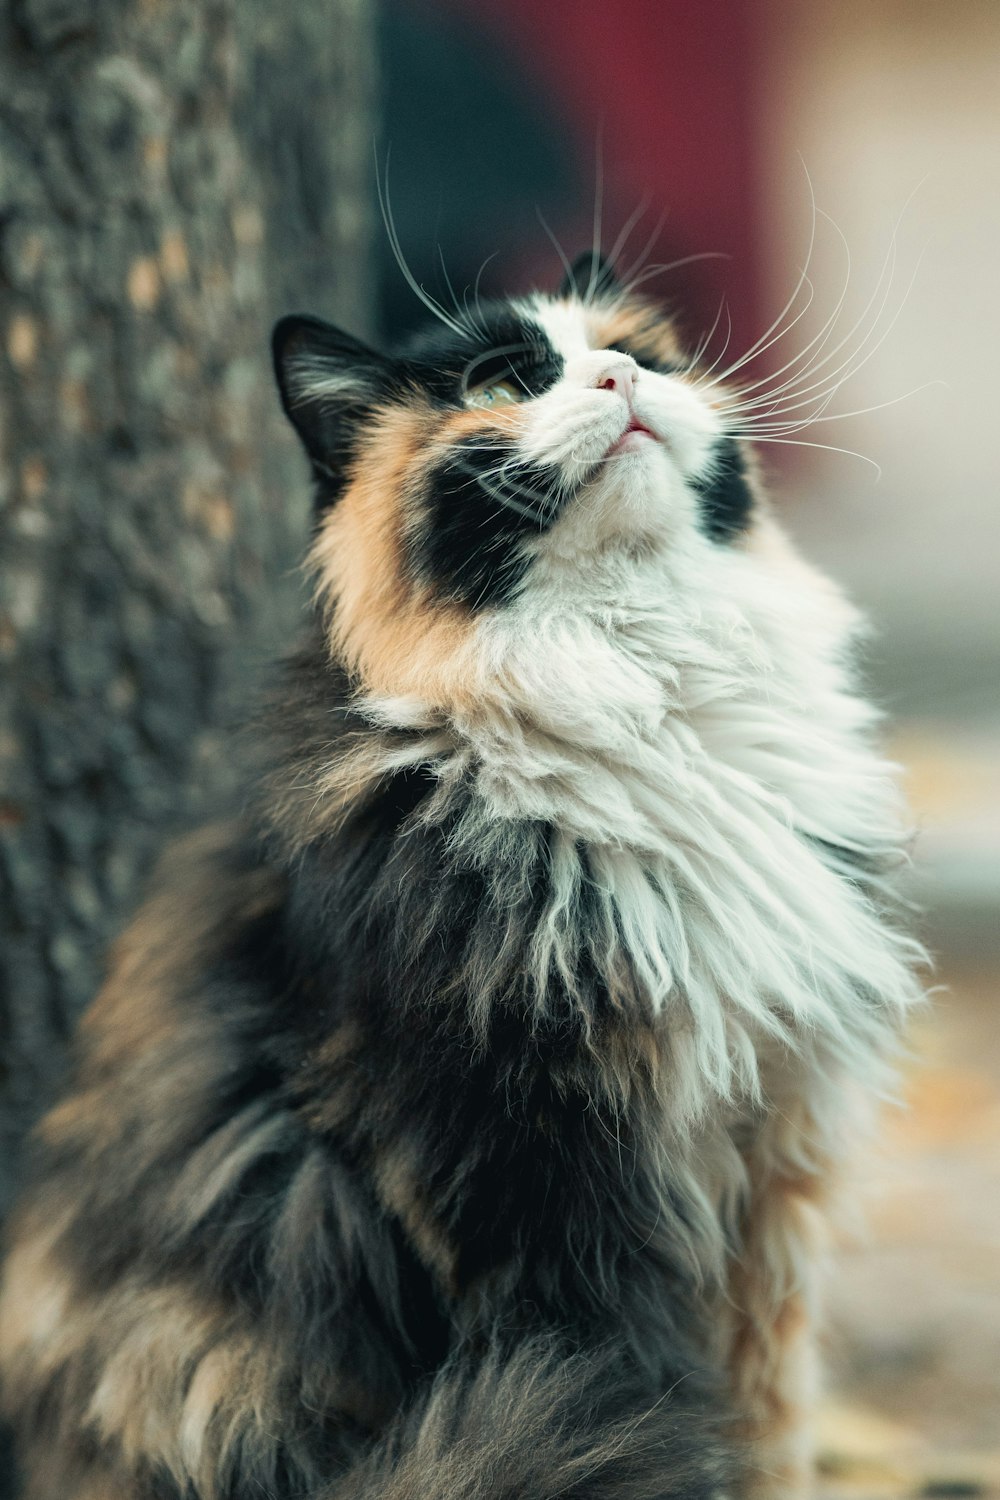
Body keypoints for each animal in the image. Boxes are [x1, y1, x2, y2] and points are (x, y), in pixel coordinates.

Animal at [0, 252, 923, 1494]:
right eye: (498, 382)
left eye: (638, 353)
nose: (619, 378)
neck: (644, 695)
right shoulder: (523, 1172)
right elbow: (632, 1383)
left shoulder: (772, 1149)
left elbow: (767, 1416)